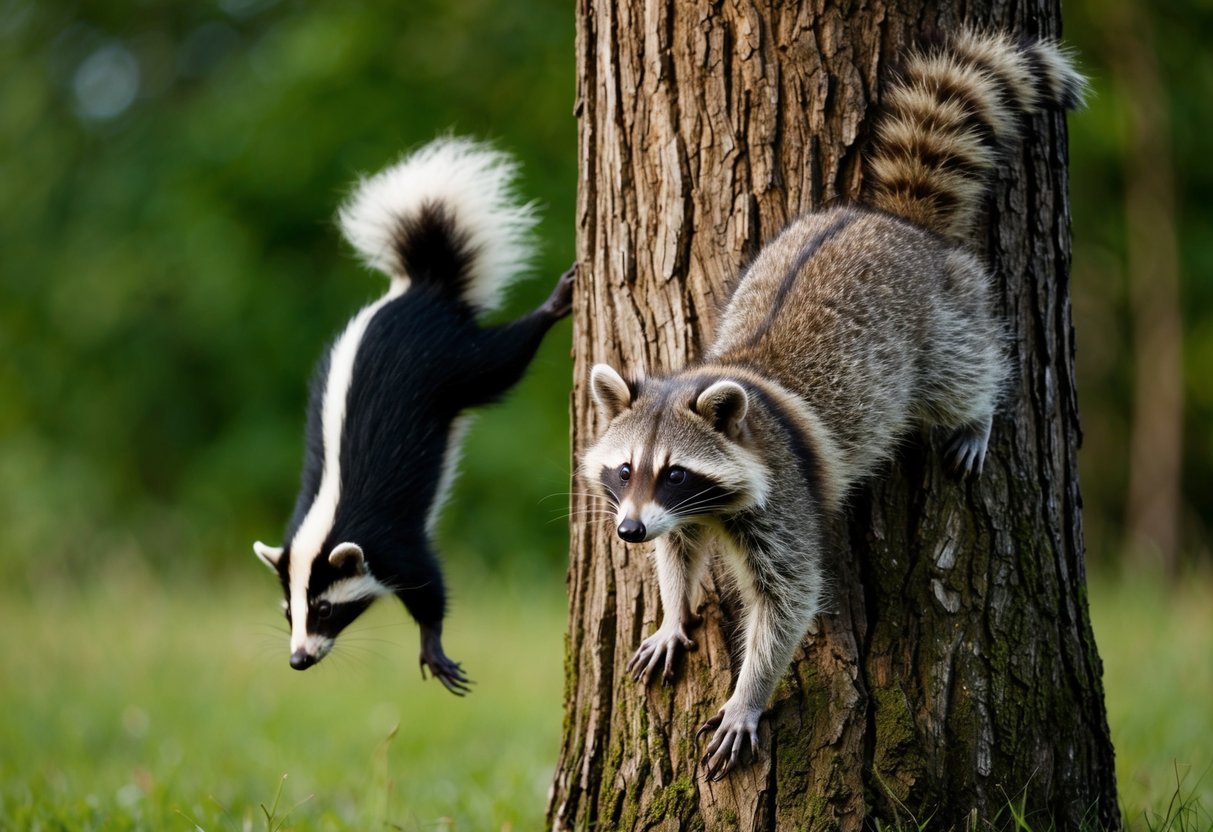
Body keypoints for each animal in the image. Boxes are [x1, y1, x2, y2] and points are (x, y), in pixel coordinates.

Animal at [583, 29, 1085, 778]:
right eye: (623, 470)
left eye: (675, 471)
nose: (627, 533)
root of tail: (892, 220)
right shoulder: (673, 510)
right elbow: (679, 550)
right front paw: (673, 609)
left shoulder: (780, 497)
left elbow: (787, 598)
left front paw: (748, 694)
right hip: (792, 235)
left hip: (940, 320)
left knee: (963, 368)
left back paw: (976, 410)